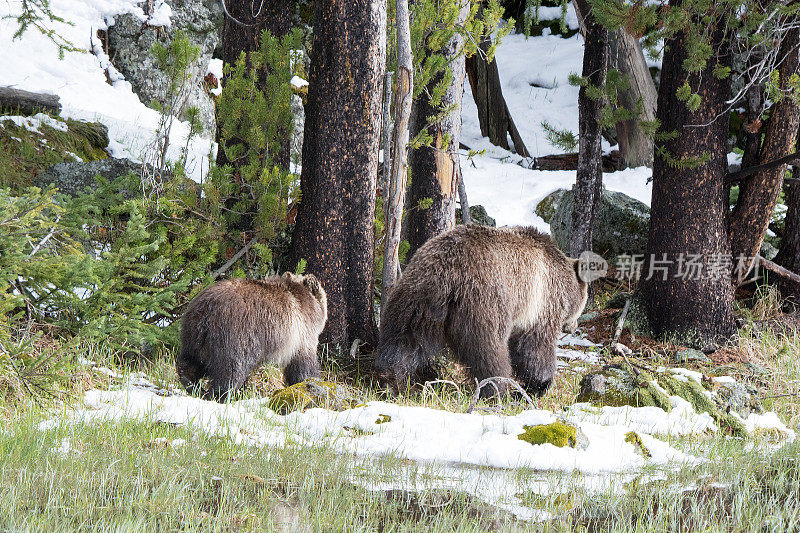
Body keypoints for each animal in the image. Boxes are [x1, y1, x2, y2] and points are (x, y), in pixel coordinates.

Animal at [178, 272, 328, 402]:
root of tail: (205, 312)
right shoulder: (301, 334)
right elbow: (303, 364)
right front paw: (310, 381)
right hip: (236, 335)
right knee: (232, 369)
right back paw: (223, 394)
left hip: (194, 336)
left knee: (191, 361)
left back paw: (191, 383)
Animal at [376, 223, 588, 394]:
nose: (574, 326)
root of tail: (445, 271)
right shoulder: (541, 303)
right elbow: (535, 346)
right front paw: (540, 384)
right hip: (484, 302)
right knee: (489, 349)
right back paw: (496, 388)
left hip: (414, 300)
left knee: (403, 340)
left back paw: (390, 380)